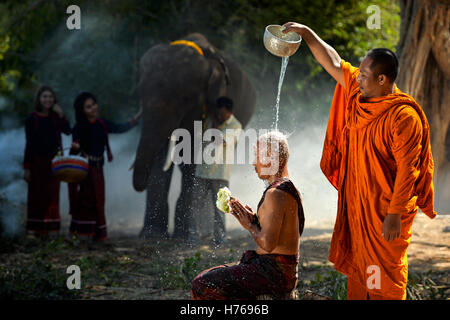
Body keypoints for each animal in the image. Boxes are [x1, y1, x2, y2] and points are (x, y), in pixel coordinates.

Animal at [133, 33, 256, 241]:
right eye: (140, 93)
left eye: (185, 99)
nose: (140, 185)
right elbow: (161, 157)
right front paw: (151, 235)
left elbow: (191, 156)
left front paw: (184, 236)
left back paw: (201, 232)